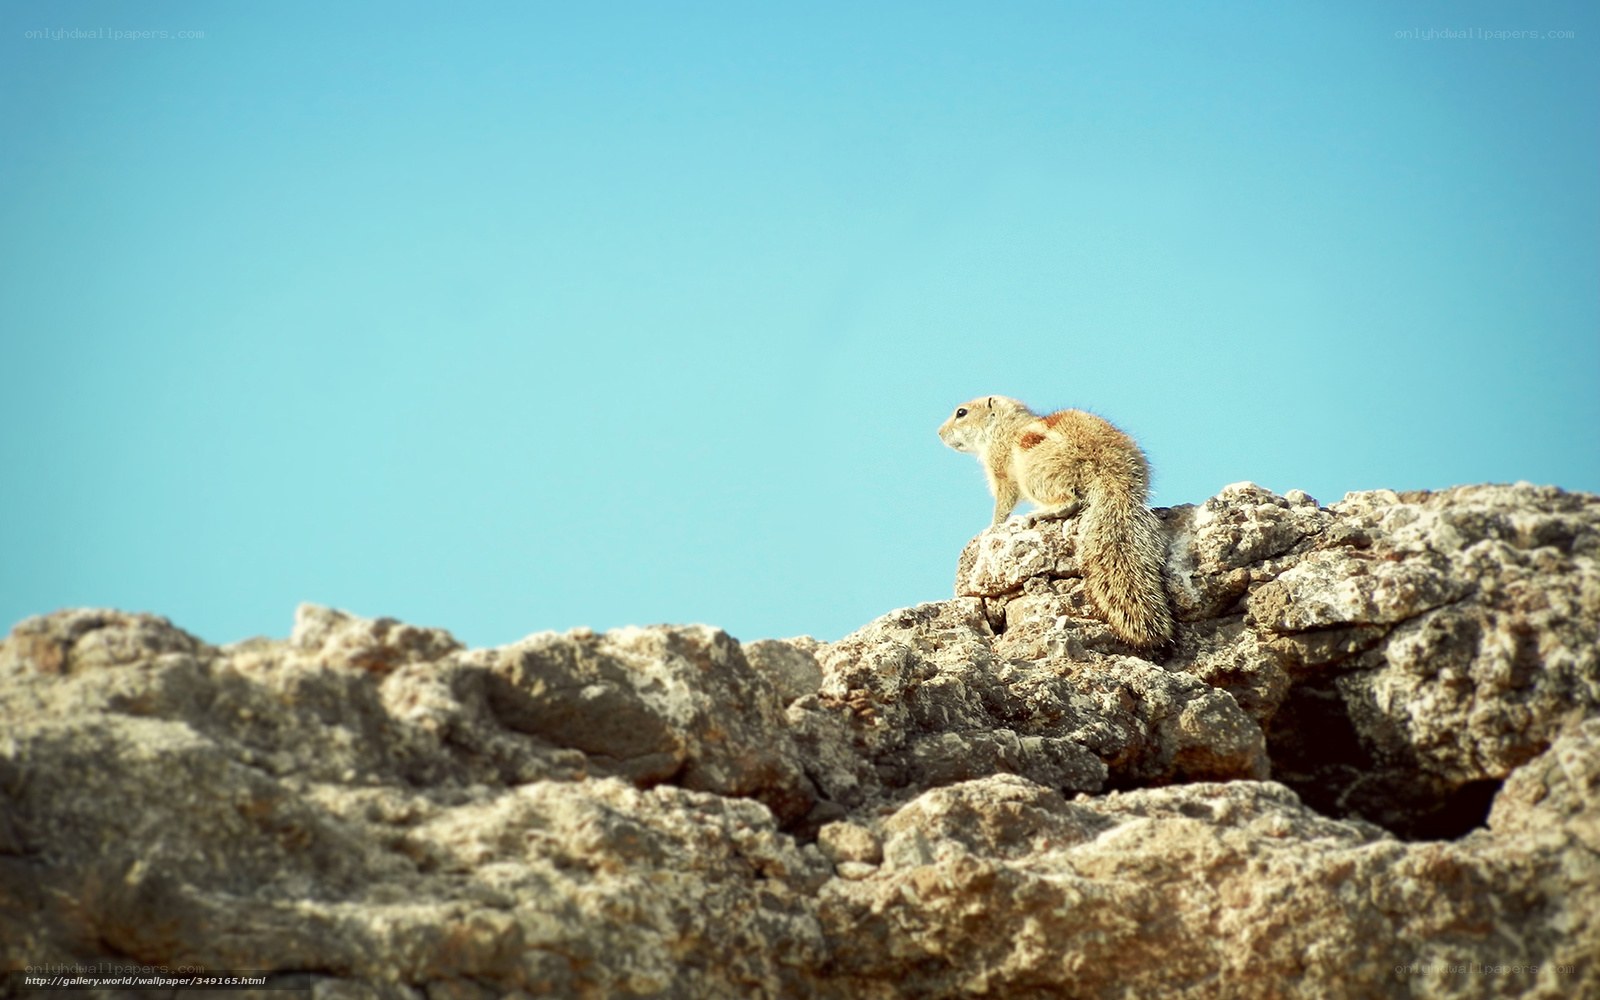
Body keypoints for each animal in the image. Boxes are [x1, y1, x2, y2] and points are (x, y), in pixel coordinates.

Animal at [938, 396, 1174, 648]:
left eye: (961, 413)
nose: (939, 433)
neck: (1003, 423)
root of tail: (1111, 473)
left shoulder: (1000, 468)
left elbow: (1003, 503)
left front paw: (993, 525)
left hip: (1036, 475)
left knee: (1069, 501)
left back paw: (1040, 514)